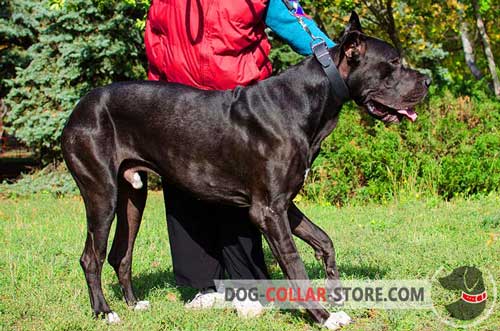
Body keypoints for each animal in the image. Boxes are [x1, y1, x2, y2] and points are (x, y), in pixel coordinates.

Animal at [62, 12, 430, 330]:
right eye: (394, 63)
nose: (426, 80)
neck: (311, 101)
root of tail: (78, 109)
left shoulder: (284, 203)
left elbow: (324, 240)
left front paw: (336, 294)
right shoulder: (267, 210)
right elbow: (294, 264)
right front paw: (323, 317)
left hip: (131, 195)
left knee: (120, 254)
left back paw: (133, 304)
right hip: (102, 192)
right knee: (91, 257)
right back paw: (104, 312)